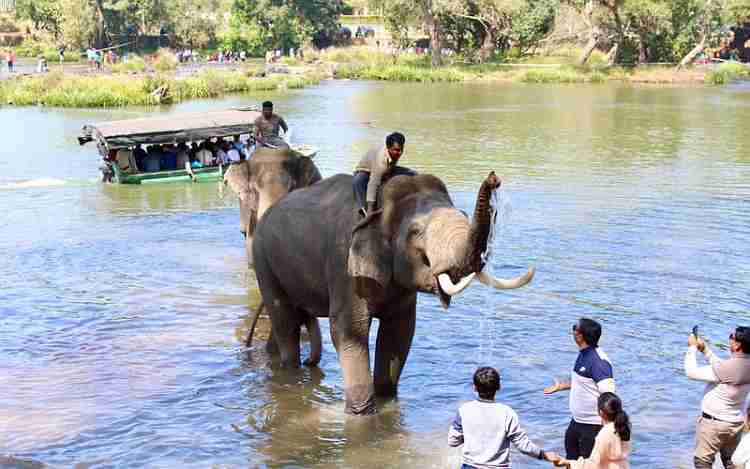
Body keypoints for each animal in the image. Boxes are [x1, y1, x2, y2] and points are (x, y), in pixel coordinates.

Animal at [253, 169, 536, 414]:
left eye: (464, 215)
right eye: (416, 232)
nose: (494, 179)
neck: (378, 207)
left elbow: (399, 332)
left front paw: (386, 399)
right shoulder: (345, 265)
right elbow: (350, 329)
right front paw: (361, 415)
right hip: (263, 258)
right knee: (285, 320)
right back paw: (290, 375)